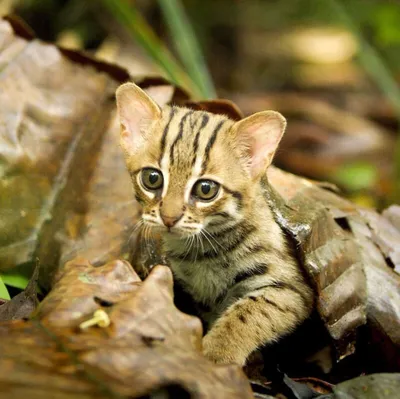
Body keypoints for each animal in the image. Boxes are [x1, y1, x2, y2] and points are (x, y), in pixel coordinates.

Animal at [116, 83, 316, 368]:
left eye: (206, 189)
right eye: (152, 178)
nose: (168, 218)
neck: (204, 249)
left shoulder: (293, 290)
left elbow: (250, 312)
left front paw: (215, 355)